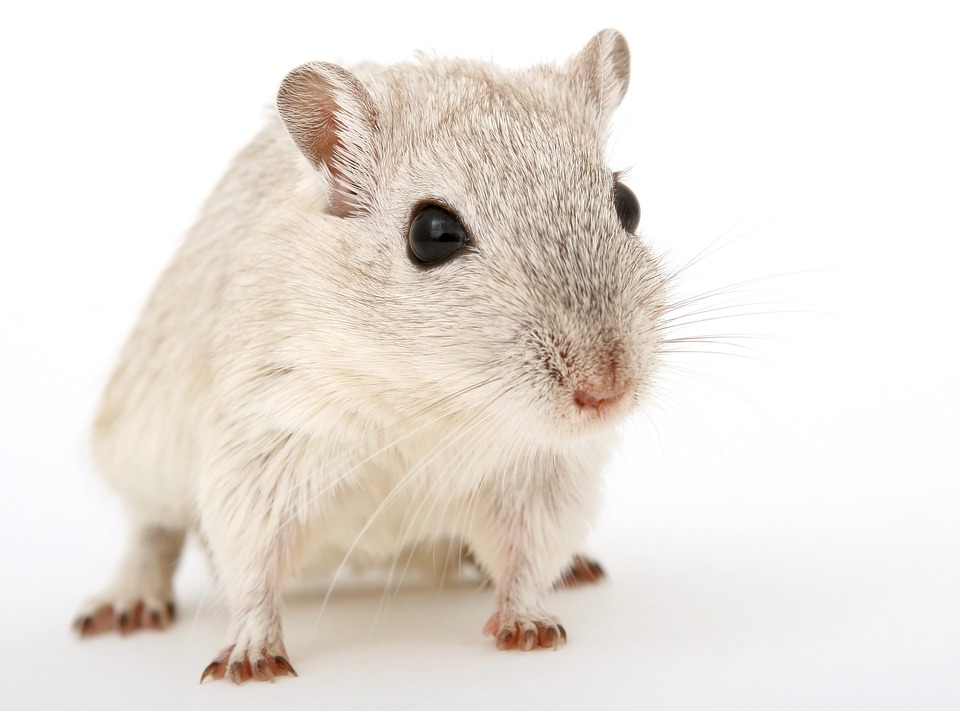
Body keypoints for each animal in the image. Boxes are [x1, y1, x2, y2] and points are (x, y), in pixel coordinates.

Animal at [74, 28, 667, 683]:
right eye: (432, 234)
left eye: (627, 203)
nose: (607, 393)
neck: (433, 398)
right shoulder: (266, 439)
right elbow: (251, 564)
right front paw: (250, 663)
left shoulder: (545, 472)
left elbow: (529, 556)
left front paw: (530, 627)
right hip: (138, 445)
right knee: (152, 528)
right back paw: (125, 605)